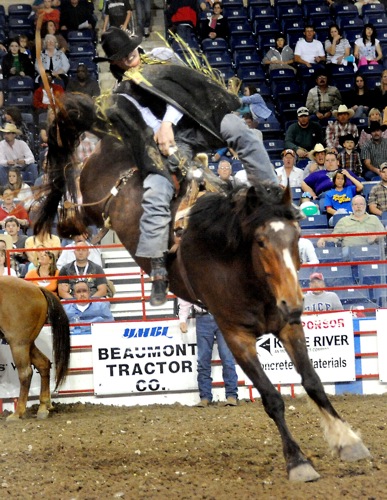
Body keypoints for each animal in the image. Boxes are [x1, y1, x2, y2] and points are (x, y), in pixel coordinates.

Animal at [0, 276, 70, 420]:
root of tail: (38, 289)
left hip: (18, 343)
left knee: (26, 373)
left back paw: (18, 413)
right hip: (28, 343)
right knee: (43, 364)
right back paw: (43, 408)